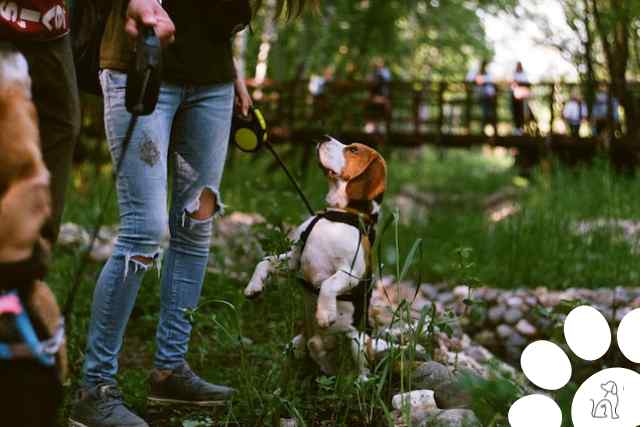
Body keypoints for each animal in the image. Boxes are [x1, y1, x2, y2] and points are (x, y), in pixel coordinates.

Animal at [244, 138, 390, 378]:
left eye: (353, 149)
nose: (323, 137)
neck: (337, 215)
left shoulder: (350, 273)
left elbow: (328, 285)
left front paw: (324, 314)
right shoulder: (293, 260)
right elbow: (264, 261)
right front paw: (254, 286)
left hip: (357, 341)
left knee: (361, 370)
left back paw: (359, 380)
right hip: (295, 345)